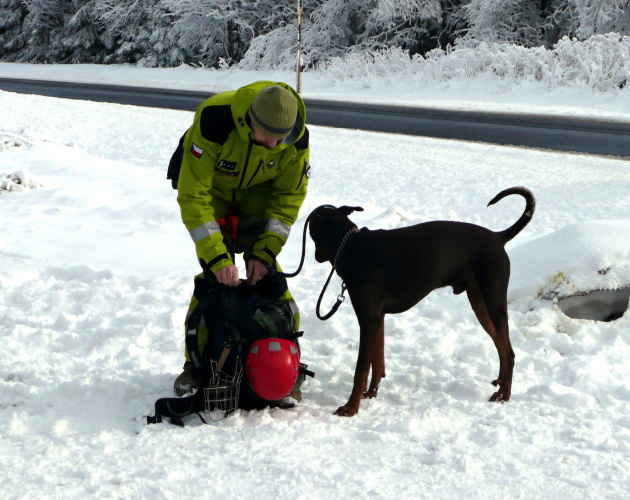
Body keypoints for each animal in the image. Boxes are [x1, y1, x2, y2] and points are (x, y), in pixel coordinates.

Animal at [308, 186, 536, 416]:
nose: (315, 257)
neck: (352, 246)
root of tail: (498, 237)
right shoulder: (378, 318)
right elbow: (378, 361)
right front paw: (371, 392)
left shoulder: (368, 319)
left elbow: (361, 369)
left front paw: (351, 407)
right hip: (480, 304)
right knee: (500, 346)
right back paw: (499, 382)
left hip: (494, 302)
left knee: (509, 352)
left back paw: (504, 395)